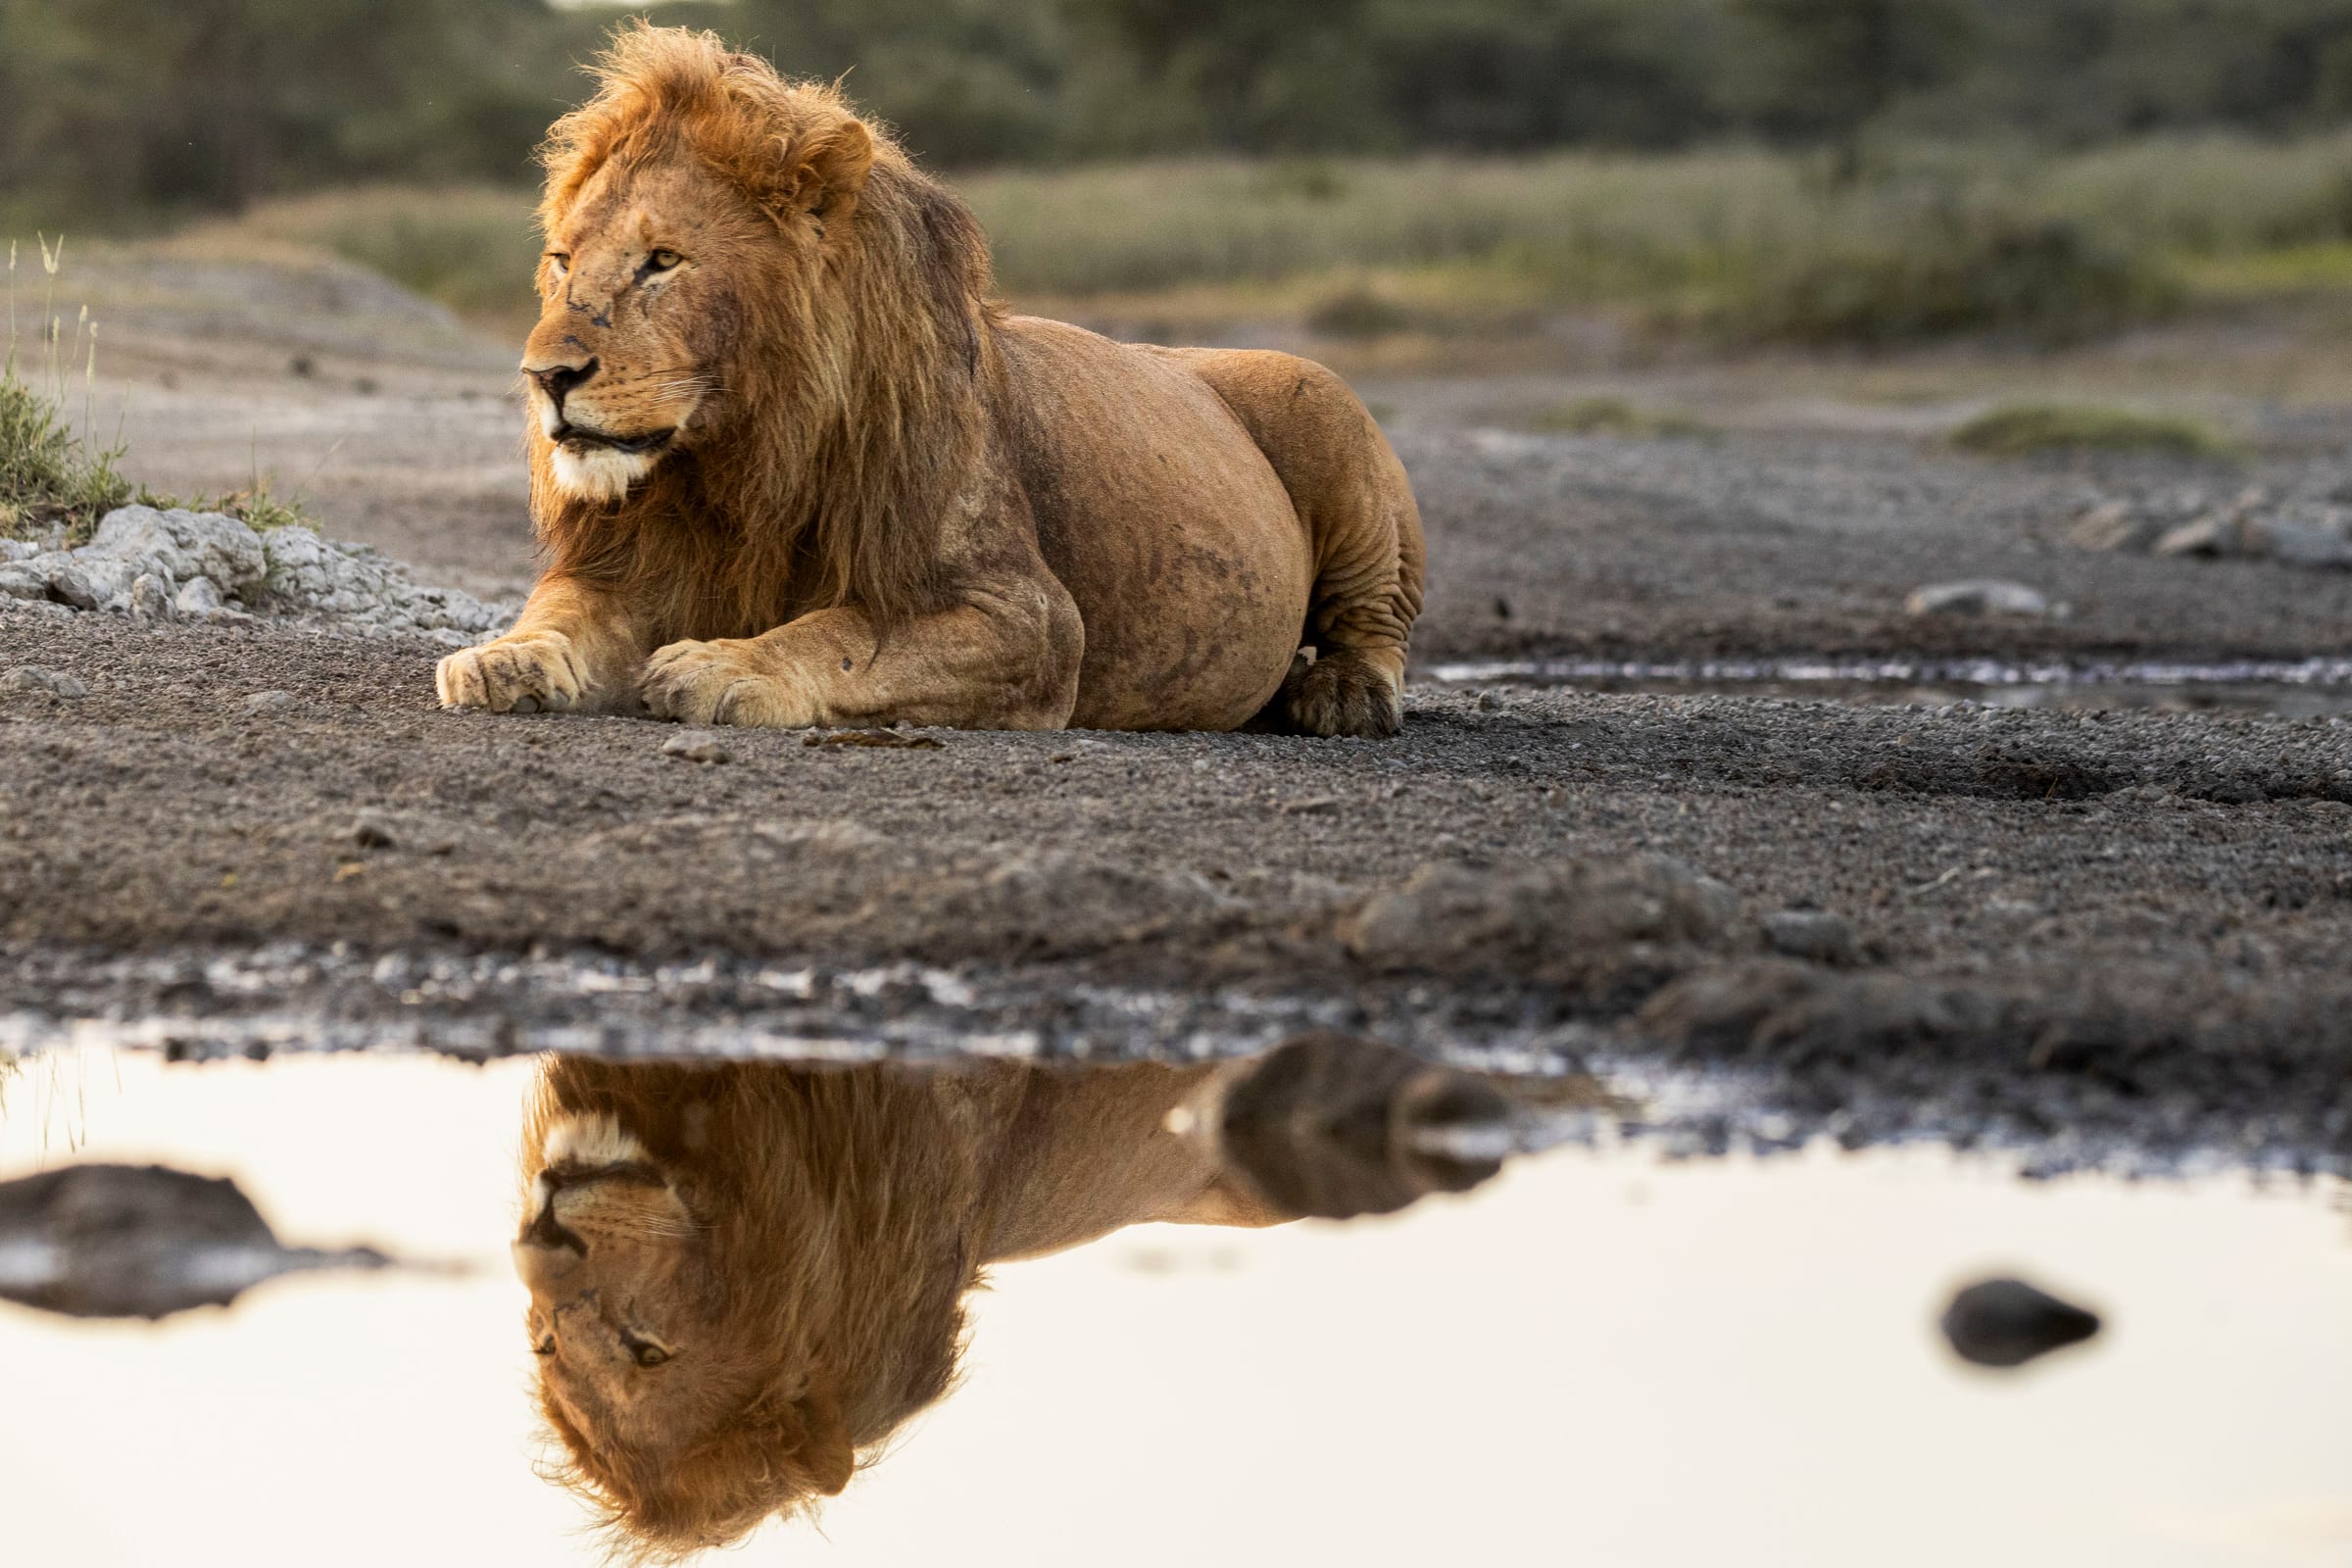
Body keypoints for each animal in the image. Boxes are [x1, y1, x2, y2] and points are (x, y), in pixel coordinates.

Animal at [435, 24, 1424, 738]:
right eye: (563, 262)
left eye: (662, 262)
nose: (545, 376)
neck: (738, 462)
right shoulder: (627, 562)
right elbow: (559, 611)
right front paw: (501, 658)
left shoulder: (1028, 617)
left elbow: (846, 634)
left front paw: (722, 665)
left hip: (1322, 402)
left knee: (1379, 619)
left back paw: (1342, 697)